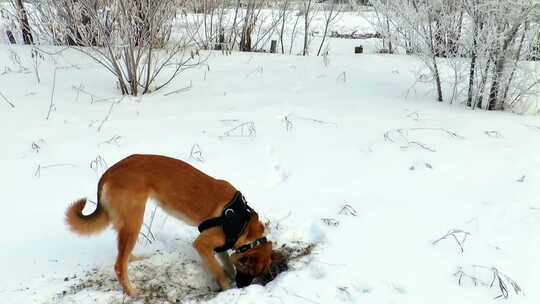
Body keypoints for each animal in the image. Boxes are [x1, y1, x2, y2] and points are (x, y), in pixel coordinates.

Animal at [65, 153, 272, 296]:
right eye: (249, 271)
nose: (243, 287)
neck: (243, 222)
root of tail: (109, 172)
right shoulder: (202, 244)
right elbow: (218, 271)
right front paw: (227, 288)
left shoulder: (220, 243)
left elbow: (226, 262)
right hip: (134, 220)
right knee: (118, 265)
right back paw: (132, 293)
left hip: (127, 223)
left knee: (123, 256)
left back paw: (135, 260)